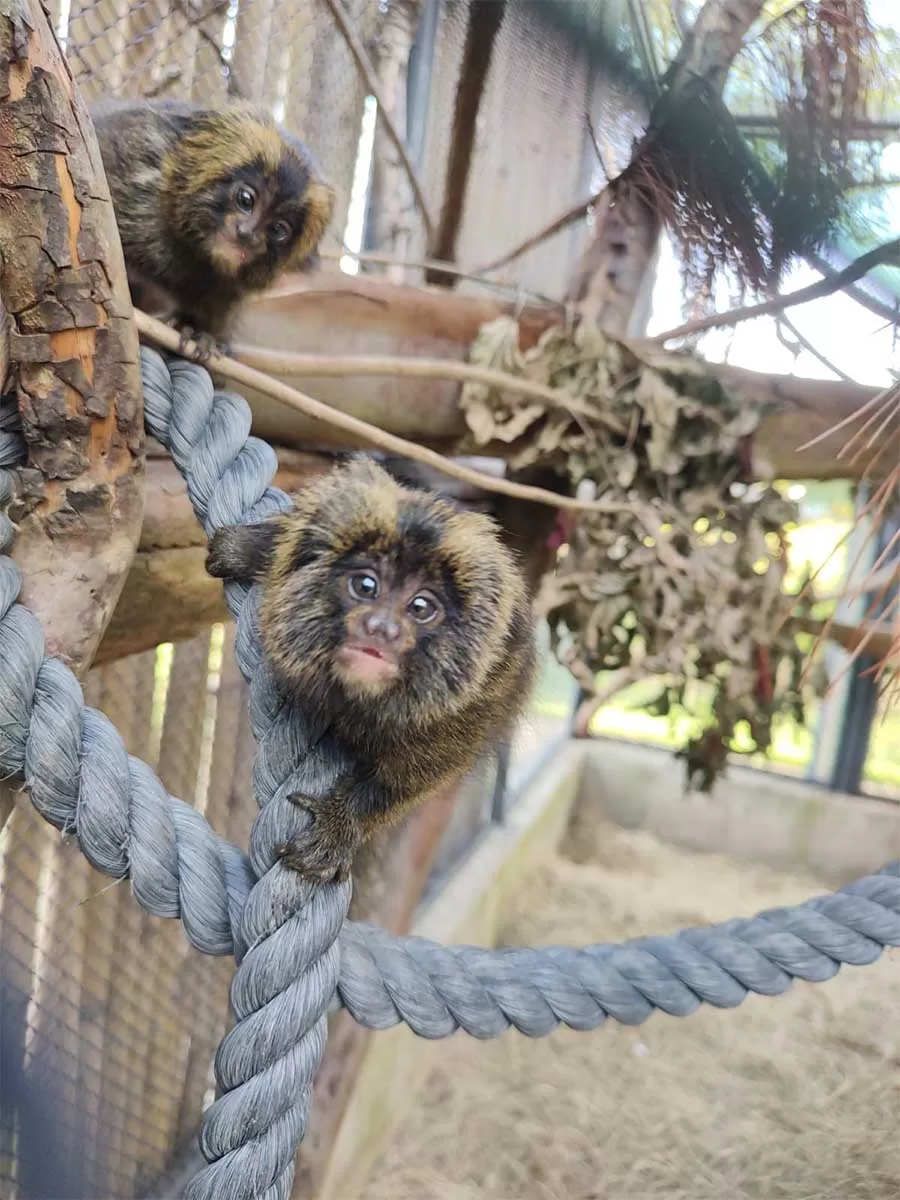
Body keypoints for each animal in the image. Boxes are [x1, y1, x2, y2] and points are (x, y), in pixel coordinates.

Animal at [207, 453, 540, 878]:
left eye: (421, 607)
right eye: (365, 586)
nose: (382, 628)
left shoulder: (466, 712)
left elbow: (413, 780)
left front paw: (339, 825)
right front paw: (249, 547)